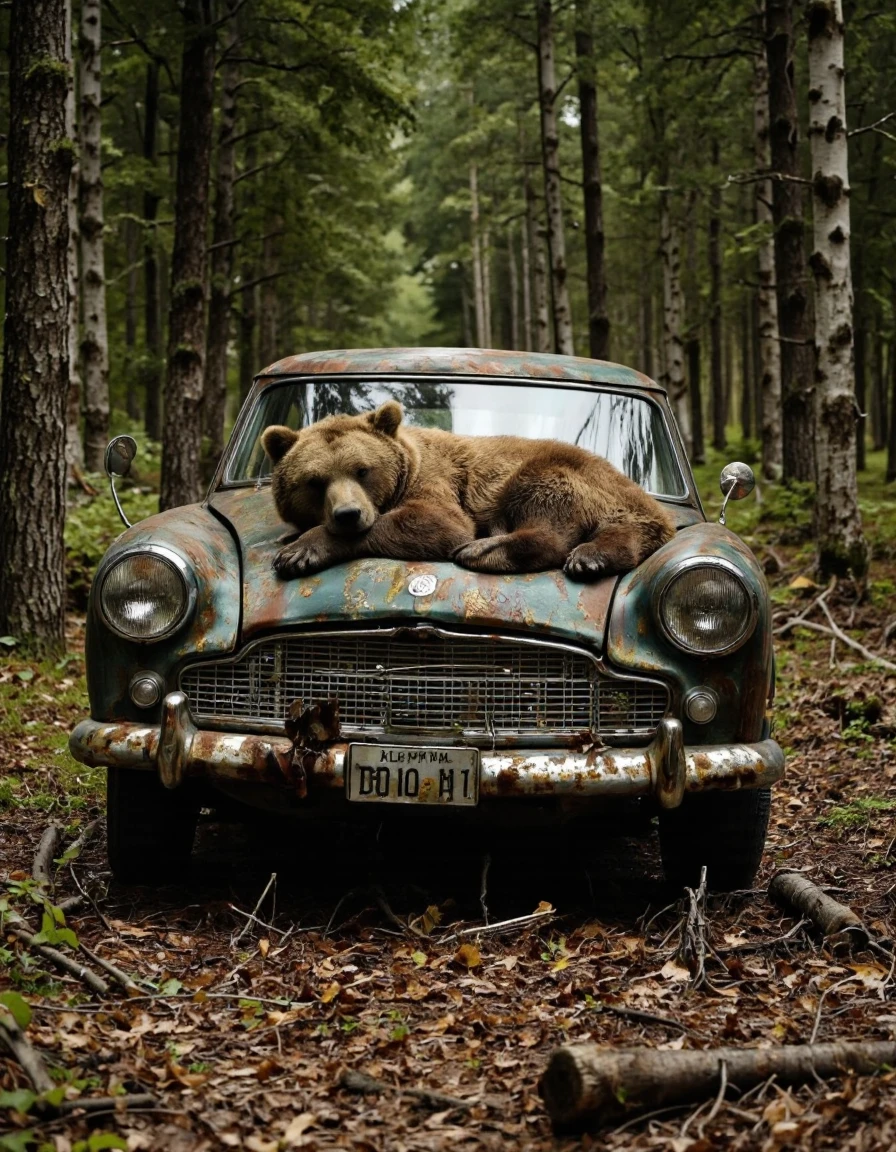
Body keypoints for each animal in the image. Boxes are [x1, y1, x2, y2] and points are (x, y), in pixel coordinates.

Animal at [261, 400, 676, 581]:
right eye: (314, 481)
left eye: (362, 470)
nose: (348, 514)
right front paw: (291, 537)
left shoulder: (436, 478)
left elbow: (437, 523)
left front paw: (300, 551)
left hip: (562, 474)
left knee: (544, 503)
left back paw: (485, 550)